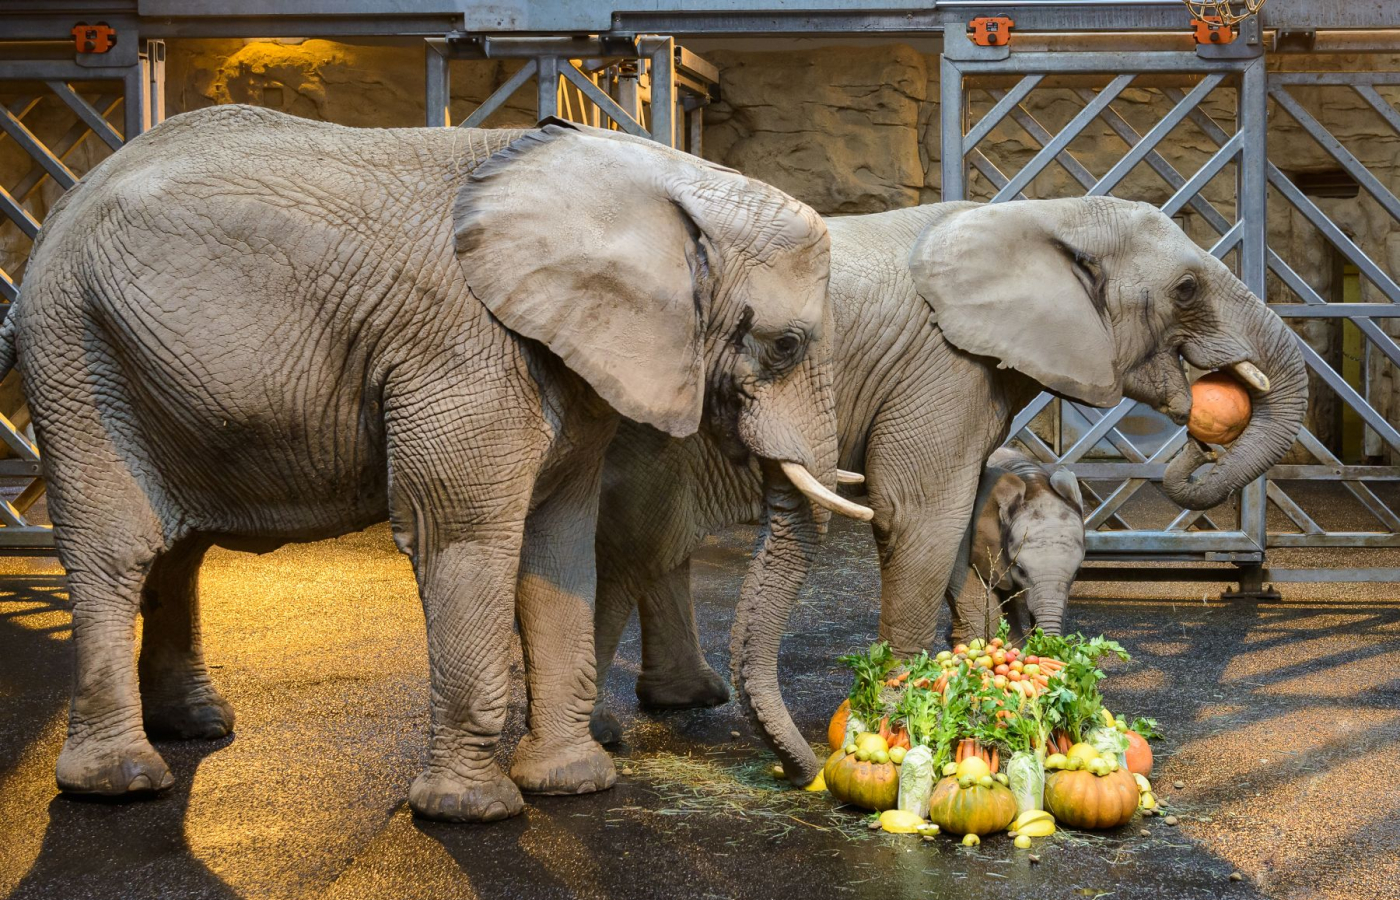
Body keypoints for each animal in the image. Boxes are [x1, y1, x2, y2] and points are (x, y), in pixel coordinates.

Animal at [5, 105, 868, 823]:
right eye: (784, 345)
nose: (803, 776)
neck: (652, 176)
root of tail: (60, 209)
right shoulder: (465, 350)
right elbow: (464, 536)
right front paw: (471, 813)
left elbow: (559, 544)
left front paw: (575, 787)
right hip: (75, 352)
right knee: (117, 545)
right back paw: (120, 782)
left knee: (177, 548)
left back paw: (196, 726)